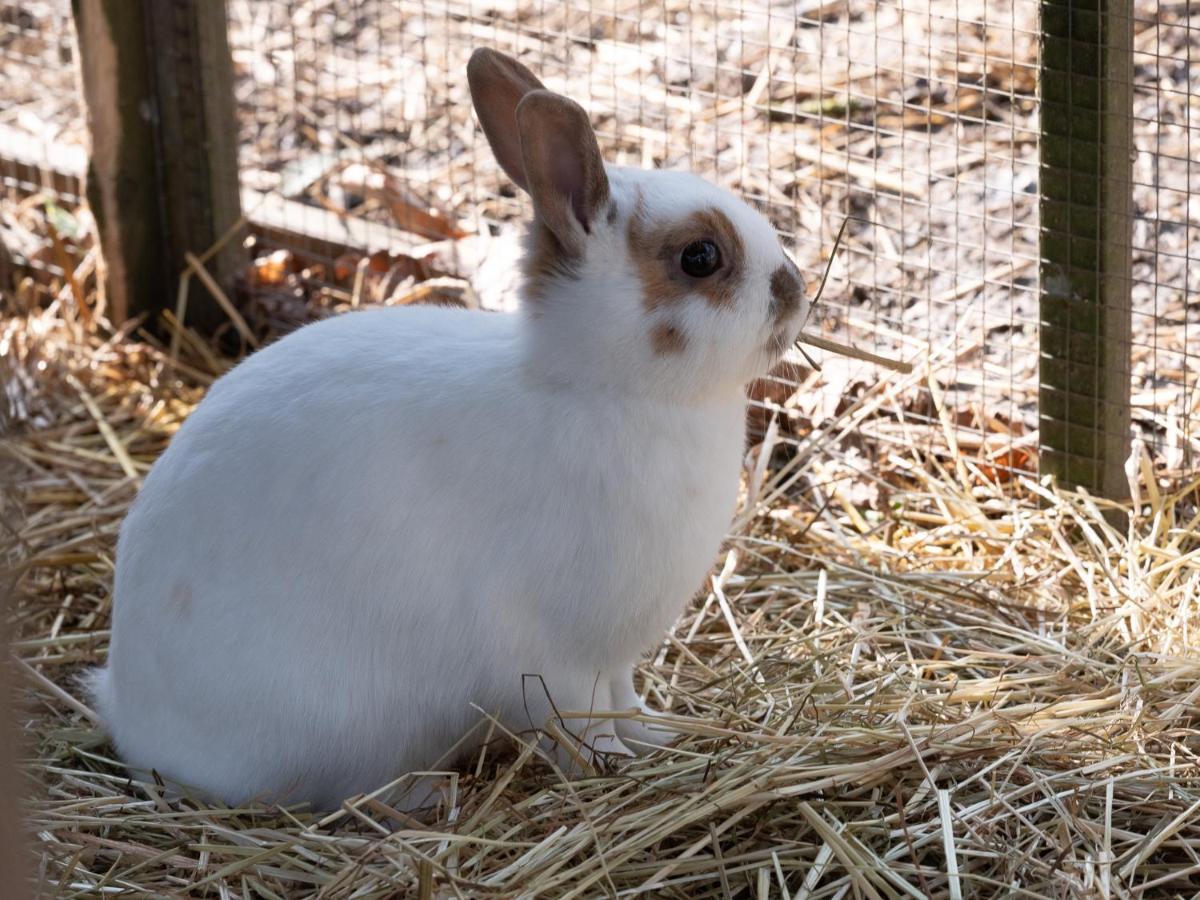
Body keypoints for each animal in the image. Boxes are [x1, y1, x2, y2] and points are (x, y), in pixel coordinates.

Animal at [88, 47, 811, 811]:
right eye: (700, 257)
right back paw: (431, 796)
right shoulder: (556, 659)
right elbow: (583, 723)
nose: (796, 291)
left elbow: (625, 702)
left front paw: (658, 738)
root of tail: (131, 715)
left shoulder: (614, 660)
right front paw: (617, 766)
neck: (604, 388)